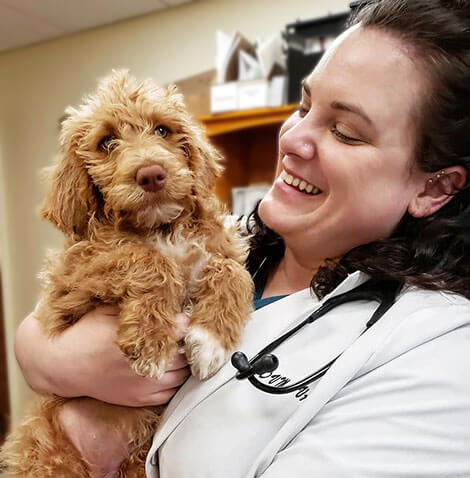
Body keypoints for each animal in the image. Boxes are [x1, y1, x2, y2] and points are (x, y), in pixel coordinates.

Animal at [0, 71, 253, 478]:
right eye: (106, 142)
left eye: (163, 130)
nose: (151, 174)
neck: (161, 228)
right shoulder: (72, 280)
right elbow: (145, 258)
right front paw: (151, 343)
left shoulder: (218, 248)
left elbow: (232, 269)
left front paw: (210, 339)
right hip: (48, 454)